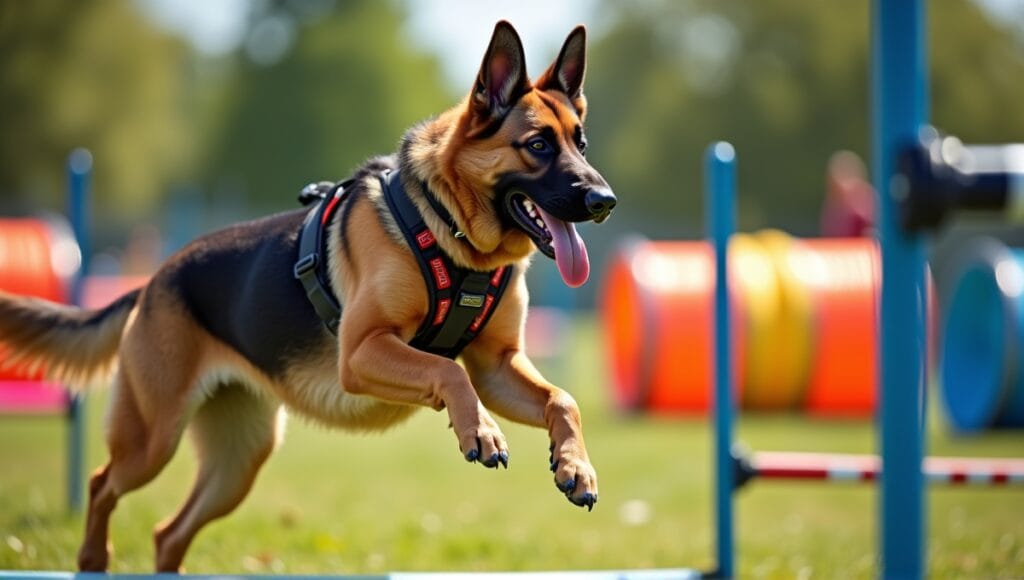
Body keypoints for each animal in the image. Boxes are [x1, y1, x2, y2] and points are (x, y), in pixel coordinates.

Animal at [0, 21, 610, 573]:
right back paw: (91, 558)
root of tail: (153, 281)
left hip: (238, 463)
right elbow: (448, 372)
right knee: (102, 483)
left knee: (166, 534)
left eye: (581, 144)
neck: (454, 237)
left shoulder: (498, 368)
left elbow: (563, 399)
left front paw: (575, 466)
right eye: (537, 146)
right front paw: (480, 430)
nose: (605, 201)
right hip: (152, 440)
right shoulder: (363, 352)